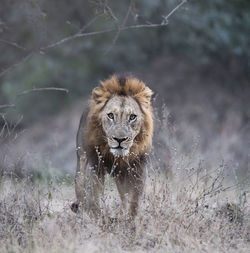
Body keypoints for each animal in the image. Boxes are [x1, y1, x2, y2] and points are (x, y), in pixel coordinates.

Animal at [71, 74, 153, 218]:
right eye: (110, 115)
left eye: (132, 117)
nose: (119, 139)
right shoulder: (96, 166)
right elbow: (95, 196)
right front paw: (97, 217)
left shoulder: (139, 167)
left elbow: (134, 200)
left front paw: (131, 219)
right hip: (82, 158)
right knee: (80, 185)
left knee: (124, 197)